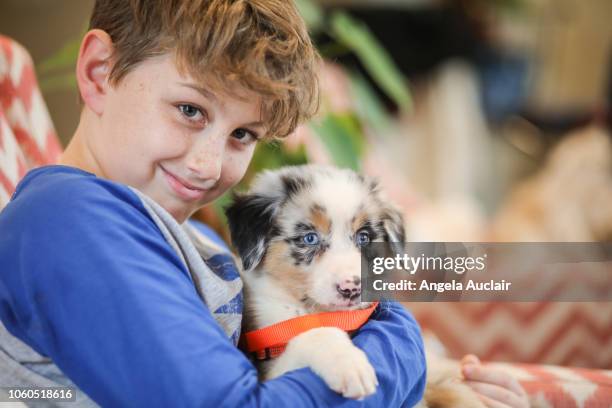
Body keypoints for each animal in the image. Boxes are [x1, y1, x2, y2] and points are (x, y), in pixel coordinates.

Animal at [224, 164, 482, 406]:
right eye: (310, 238)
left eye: (363, 237)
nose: (352, 289)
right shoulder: (270, 369)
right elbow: (319, 334)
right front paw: (350, 366)